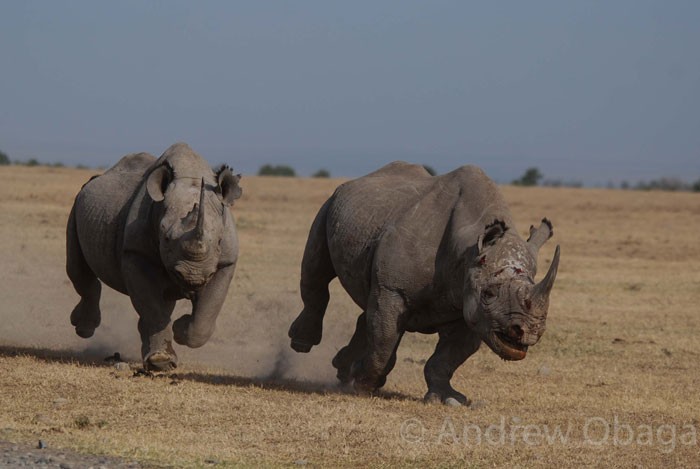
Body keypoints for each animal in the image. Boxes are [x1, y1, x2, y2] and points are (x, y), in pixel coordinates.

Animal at [66, 143, 241, 370]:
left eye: (219, 241)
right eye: (165, 238)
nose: (192, 276)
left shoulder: (225, 263)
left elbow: (206, 314)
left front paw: (181, 330)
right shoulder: (135, 253)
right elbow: (153, 310)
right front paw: (161, 361)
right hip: (77, 203)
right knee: (78, 271)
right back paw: (84, 329)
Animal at [288, 161, 560, 402]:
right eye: (489, 294)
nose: (530, 331)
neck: (469, 249)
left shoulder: (473, 310)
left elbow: (447, 358)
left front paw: (448, 399)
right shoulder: (394, 290)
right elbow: (384, 341)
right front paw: (363, 385)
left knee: (368, 308)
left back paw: (342, 369)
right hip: (331, 203)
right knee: (317, 272)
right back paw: (302, 344)